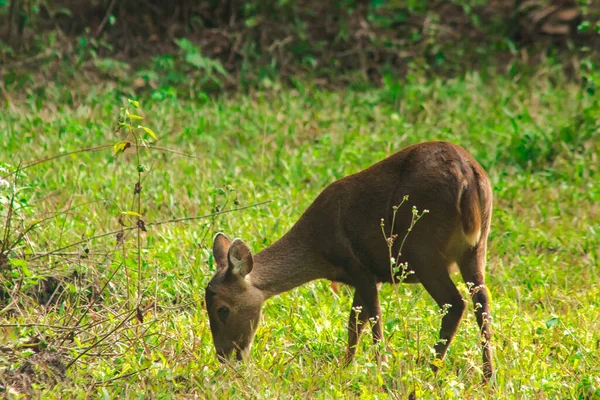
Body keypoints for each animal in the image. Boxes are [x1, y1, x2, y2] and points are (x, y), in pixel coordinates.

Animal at [204, 141, 494, 382]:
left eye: (222, 309)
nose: (224, 356)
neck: (319, 248)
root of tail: (466, 174)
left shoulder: (360, 267)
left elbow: (370, 320)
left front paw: (379, 370)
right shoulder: (373, 275)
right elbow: (355, 323)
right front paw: (346, 368)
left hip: (423, 248)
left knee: (455, 303)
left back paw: (431, 371)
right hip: (476, 247)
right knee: (482, 300)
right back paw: (487, 377)